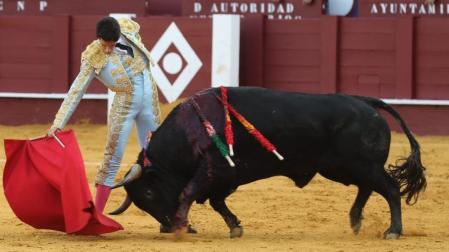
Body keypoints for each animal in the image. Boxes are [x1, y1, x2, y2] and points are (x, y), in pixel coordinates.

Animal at [110, 87, 426, 239]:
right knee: (367, 188)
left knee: (390, 189)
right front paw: (234, 227)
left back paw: (392, 231)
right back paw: (356, 220)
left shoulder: (213, 169)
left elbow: (189, 192)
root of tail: (366, 102)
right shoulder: (225, 177)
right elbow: (216, 202)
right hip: (341, 168)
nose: (166, 226)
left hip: (362, 165)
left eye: (148, 192)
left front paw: (181, 227)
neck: (191, 130)